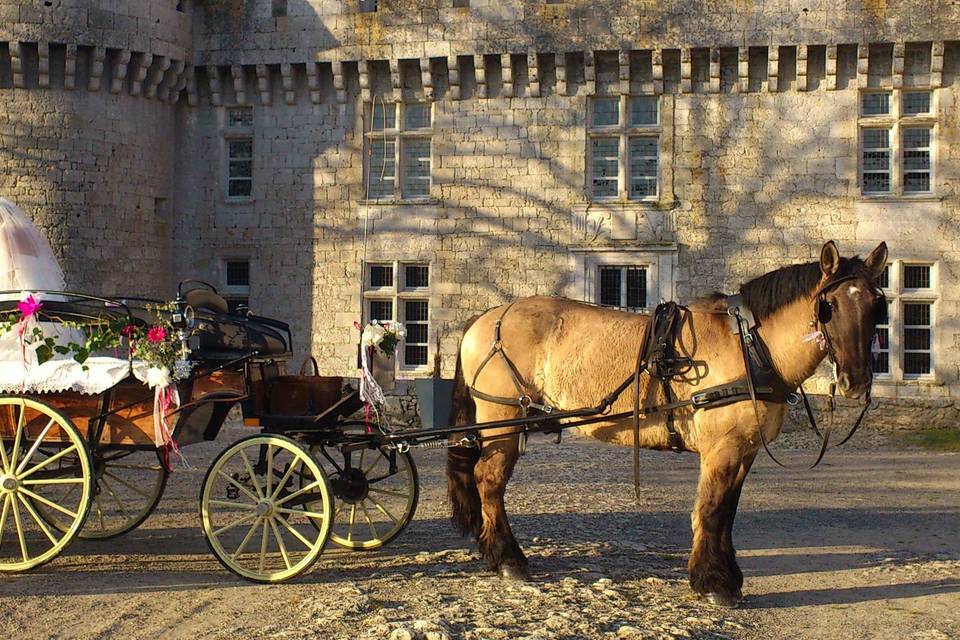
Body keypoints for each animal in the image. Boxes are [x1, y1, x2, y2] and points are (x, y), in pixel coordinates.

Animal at [446, 239, 888, 604]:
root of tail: (489, 316)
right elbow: (711, 509)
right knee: (489, 481)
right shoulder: (722, 448)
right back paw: (508, 559)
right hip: (503, 421)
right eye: (828, 307)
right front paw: (713, 583)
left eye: (875, 304)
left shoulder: (743, 449)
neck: (750, 345)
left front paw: (727, 576)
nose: (856, 382)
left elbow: (727, 513)